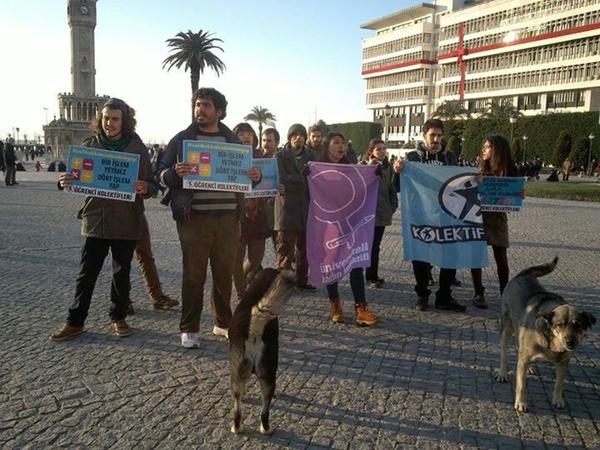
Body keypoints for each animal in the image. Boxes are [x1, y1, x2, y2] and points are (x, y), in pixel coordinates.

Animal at [229, 268, 296, 434]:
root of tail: (254, 329)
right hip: (267, 374)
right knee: (263, 410)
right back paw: (264, 429)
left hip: (241, 373)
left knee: (240, 408)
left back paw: (239, 428)